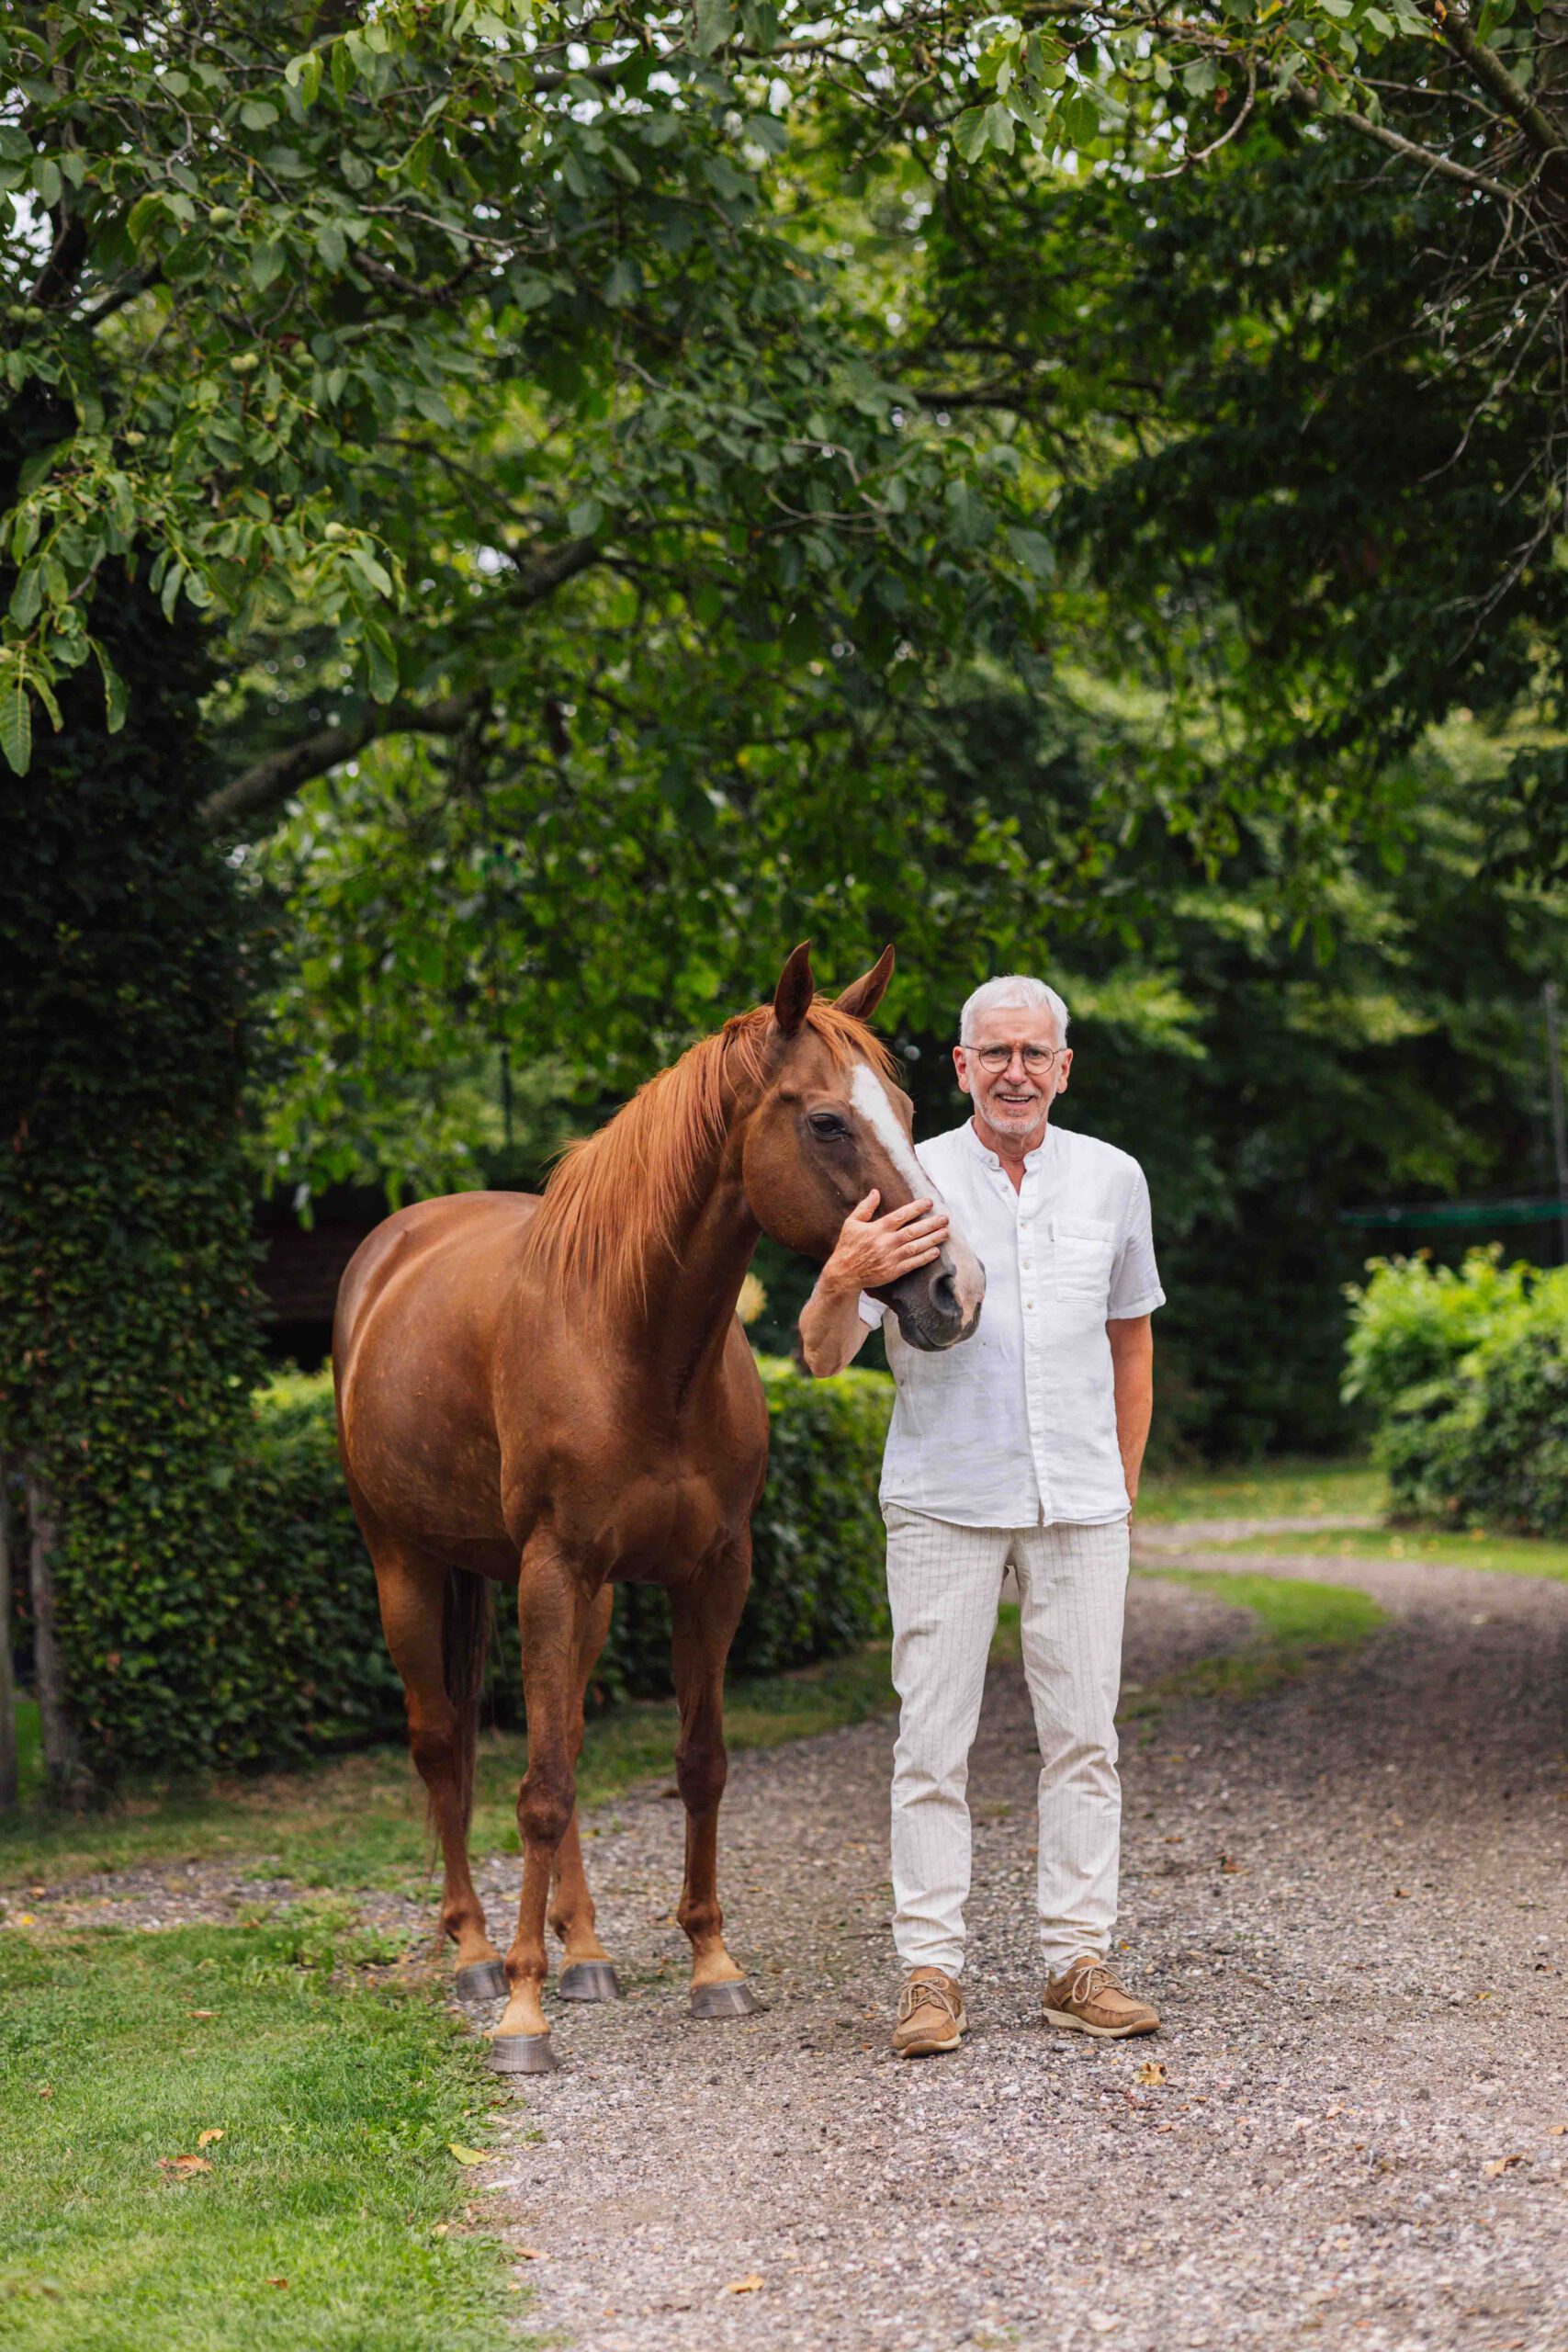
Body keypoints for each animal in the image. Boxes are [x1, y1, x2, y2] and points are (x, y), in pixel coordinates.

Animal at [332, 942, 985, 2073]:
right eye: (826, 1121)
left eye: (906, 1107)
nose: (951, 1290)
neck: (634, 1344)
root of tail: (390, 1251)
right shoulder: (554, 1570)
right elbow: (539, 1790)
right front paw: (522, 2015)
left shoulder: (712, 1571)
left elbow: (697, 1762)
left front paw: (711, 1967)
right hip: (408, 1565)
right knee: (442, 1742)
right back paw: (476, 1955)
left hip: (568, 1596)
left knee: (558, 1737)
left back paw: (586, 1950)